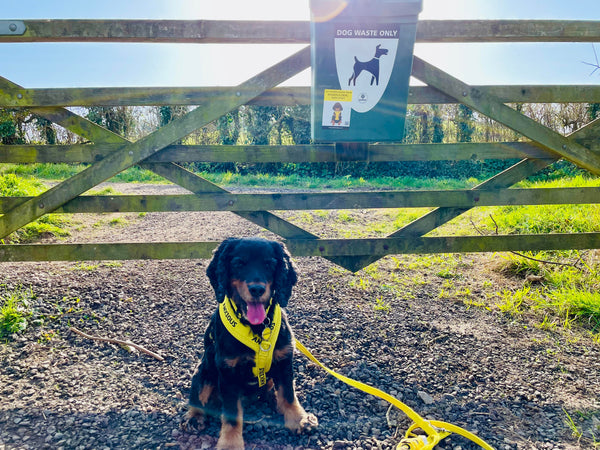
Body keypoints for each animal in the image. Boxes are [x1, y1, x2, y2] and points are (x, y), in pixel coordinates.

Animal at [184, 237, 318, 448]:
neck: (257, 328)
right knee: (197, 396)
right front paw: (230, 444)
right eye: (239, 263)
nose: (257, 289)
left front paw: (300, 420)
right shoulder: (228, 372)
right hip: (204, 369)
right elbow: (231, 414)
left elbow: (288, 393)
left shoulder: (284, 359)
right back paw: (193, 418)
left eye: (269, 264)